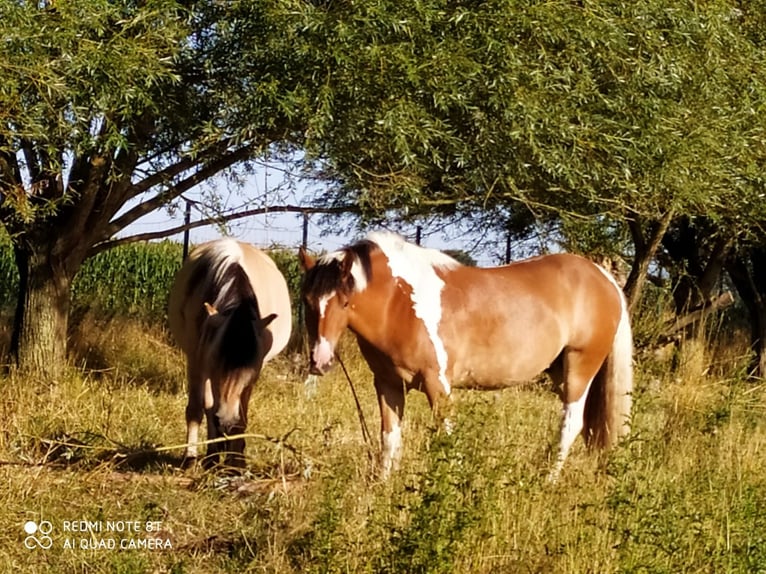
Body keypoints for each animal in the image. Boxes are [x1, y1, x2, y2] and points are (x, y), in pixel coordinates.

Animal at [168, 239, 292, 468]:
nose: (225, 420)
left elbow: (241, 418)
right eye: (216, 359)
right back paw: (212, 455)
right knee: (209, 407)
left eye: (250, 367)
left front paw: (236, 463)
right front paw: (191, 457)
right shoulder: (197, 361)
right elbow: (197, 409)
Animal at [299, 232, 632, 480]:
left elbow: (446, 437)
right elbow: (389, 439)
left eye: (344, 301)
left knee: (571, 423)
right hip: (560, 370)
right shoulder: (387, 384)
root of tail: (603, 277)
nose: (320, 361)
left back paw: (546, 480)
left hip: (581, 367)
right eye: (308, 300)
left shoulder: (437, 384)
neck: (398, 302)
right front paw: (383, 487)